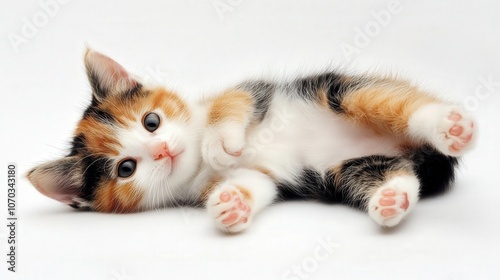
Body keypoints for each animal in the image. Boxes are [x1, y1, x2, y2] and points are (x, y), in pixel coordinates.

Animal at [27, 49, 476, 233]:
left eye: (151, 121)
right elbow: (256, 185)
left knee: (400, 105)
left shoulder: (252, 91)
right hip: (346, 170)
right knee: (390, 173)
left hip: (341, 91)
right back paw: (390, 199)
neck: (198, 165)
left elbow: (232, 104)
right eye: (126, 168)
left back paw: (450, 127)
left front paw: (219, 141)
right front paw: (232, 205)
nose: (162, 149)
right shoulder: (257, 176)